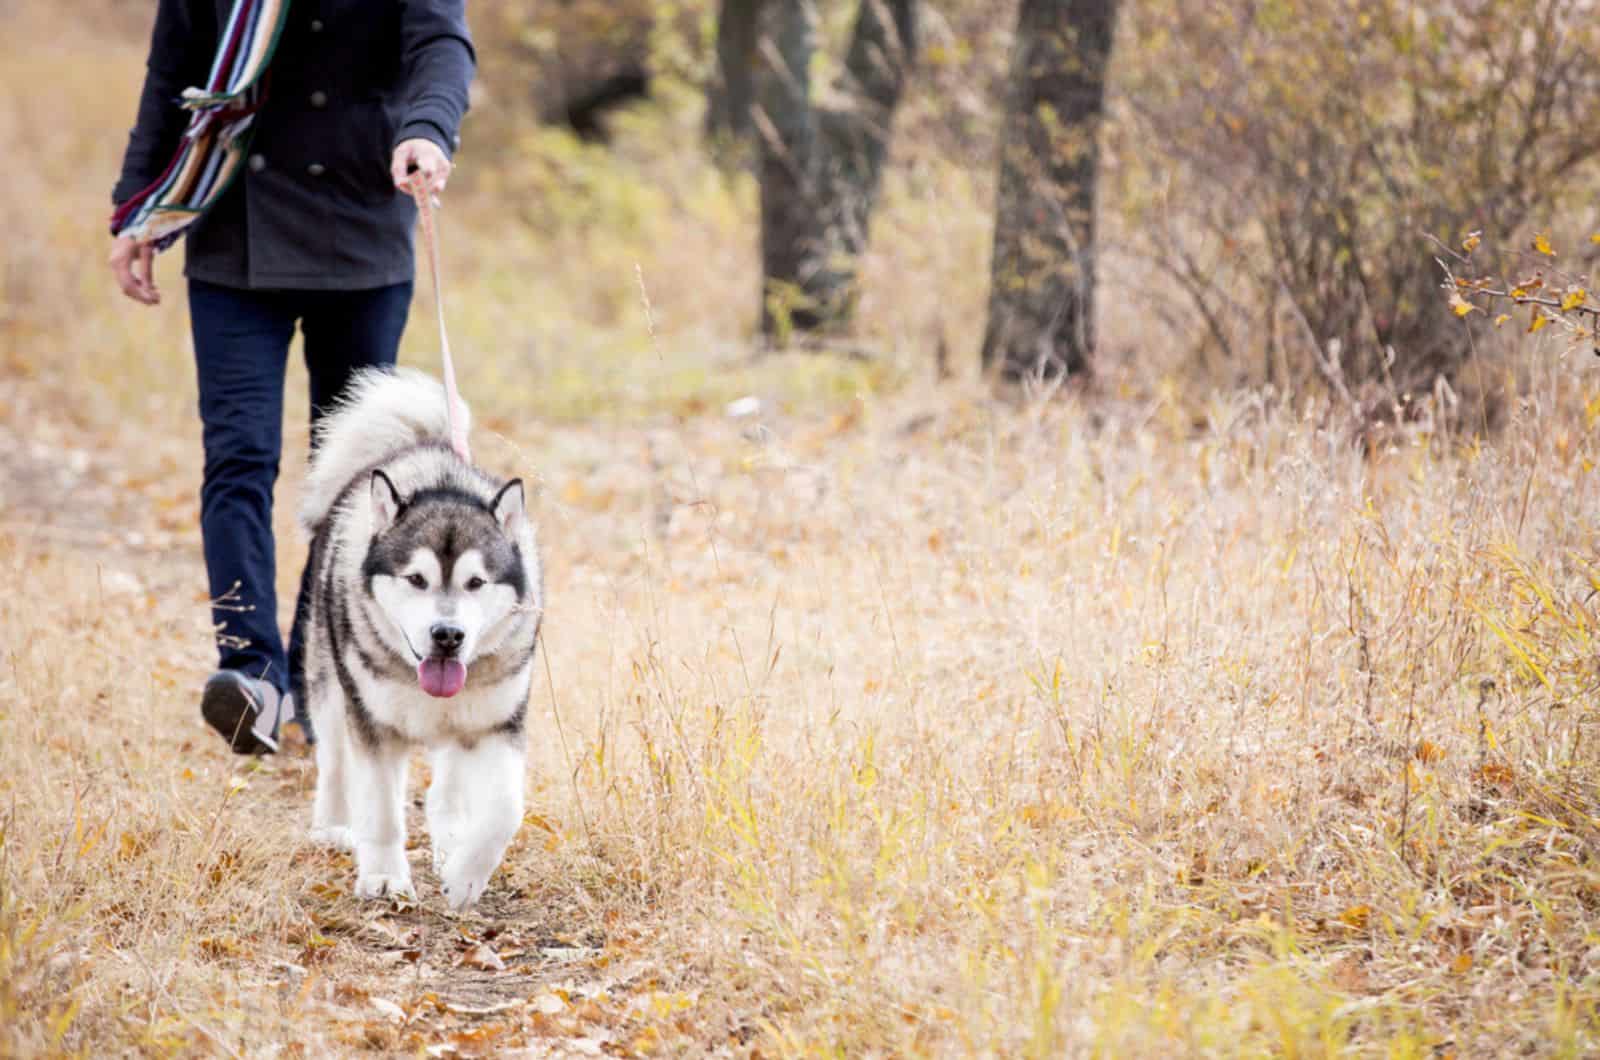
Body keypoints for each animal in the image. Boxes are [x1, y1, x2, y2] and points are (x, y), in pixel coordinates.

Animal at [300, 371, 544, 915]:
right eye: (416, 579)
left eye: (475, 583)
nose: (447, 636)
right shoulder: (373, 725)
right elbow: (381, 811)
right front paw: (385, 878)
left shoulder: (499, 723)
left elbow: (505, 811)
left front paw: (465, 878)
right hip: (330, 685)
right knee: (334, 761)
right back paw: (331, 826)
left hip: (460, 724)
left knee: (447, 784)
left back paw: (450, 839)